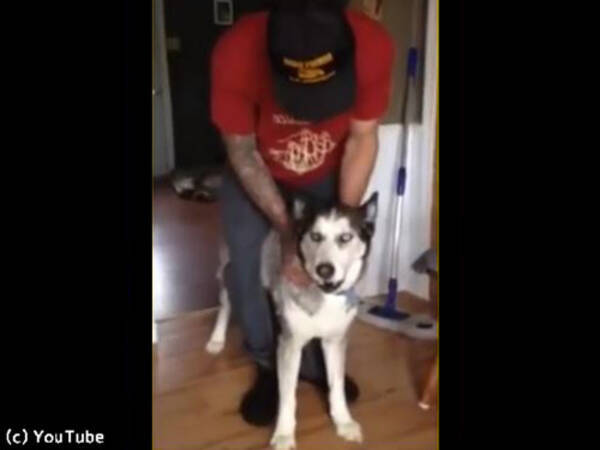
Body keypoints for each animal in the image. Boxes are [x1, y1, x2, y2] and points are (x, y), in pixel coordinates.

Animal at [206, 192, 378, 450]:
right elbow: (288, 396)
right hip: (230, 270)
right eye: (315, 236)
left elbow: (336, 385)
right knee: (227, 303)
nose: (324, 269)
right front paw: (284, 434)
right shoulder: (290, 343)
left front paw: (344, 422)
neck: (323, 296)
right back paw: (216, 340)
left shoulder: (335, 341)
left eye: (345, 237)